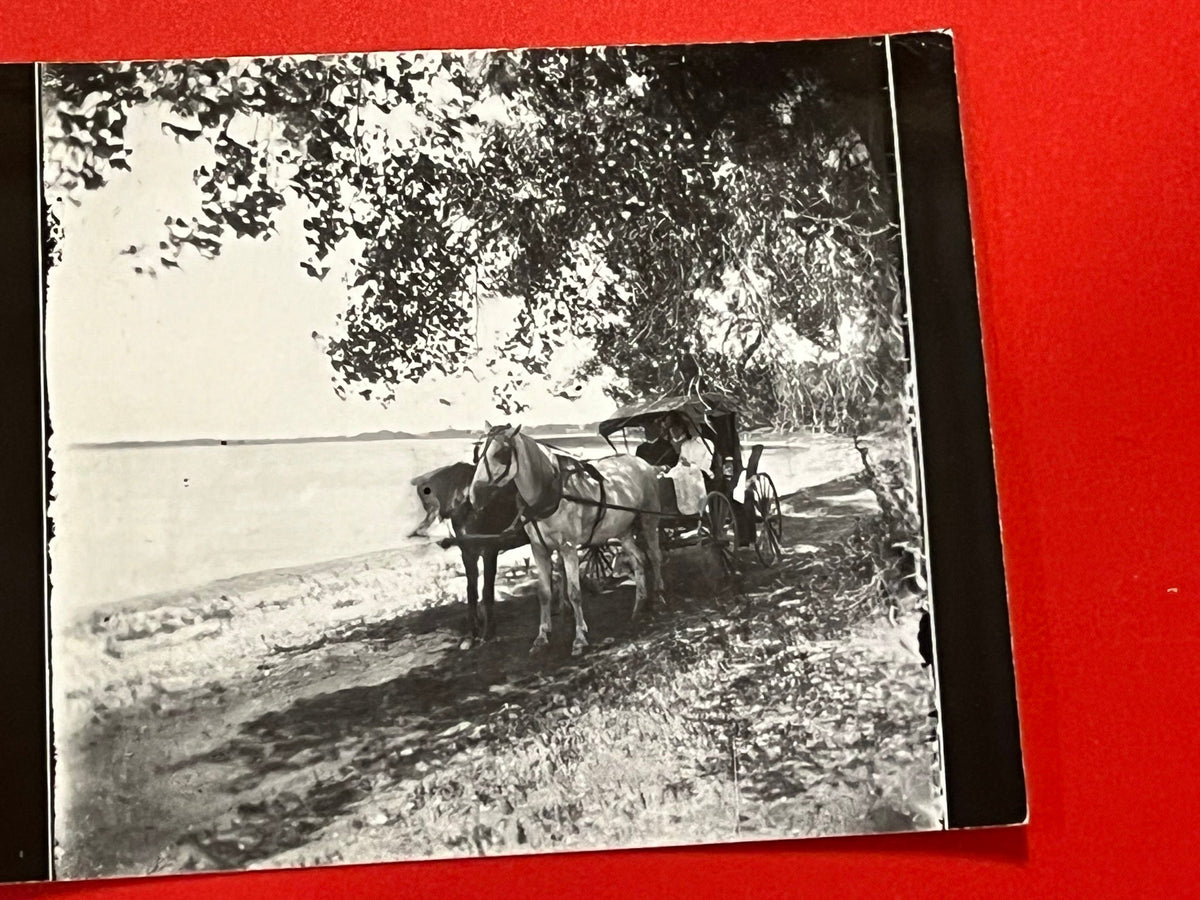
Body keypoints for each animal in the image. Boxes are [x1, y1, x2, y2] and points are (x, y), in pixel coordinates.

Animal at [410, 465, 528, 648]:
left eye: (426, 494)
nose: (443, 542)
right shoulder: (468, 553)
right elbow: (471, 592)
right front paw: (471, 635)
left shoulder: (489, 550)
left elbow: (487, 592)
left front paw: (488, 633)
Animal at [470, 422, 667, 657]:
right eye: (478, 452)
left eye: (501, 453)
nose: (474, 496)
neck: (550, 492)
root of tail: (644, 464)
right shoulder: (539, 548)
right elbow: (544, 593)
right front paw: (542, 636)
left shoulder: (568, 547)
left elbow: (574, 593)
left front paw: (580, 638)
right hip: (623, 531)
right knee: (639, 560)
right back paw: (639, 606)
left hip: (649, 520)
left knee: (654, 556)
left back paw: (659, 596)